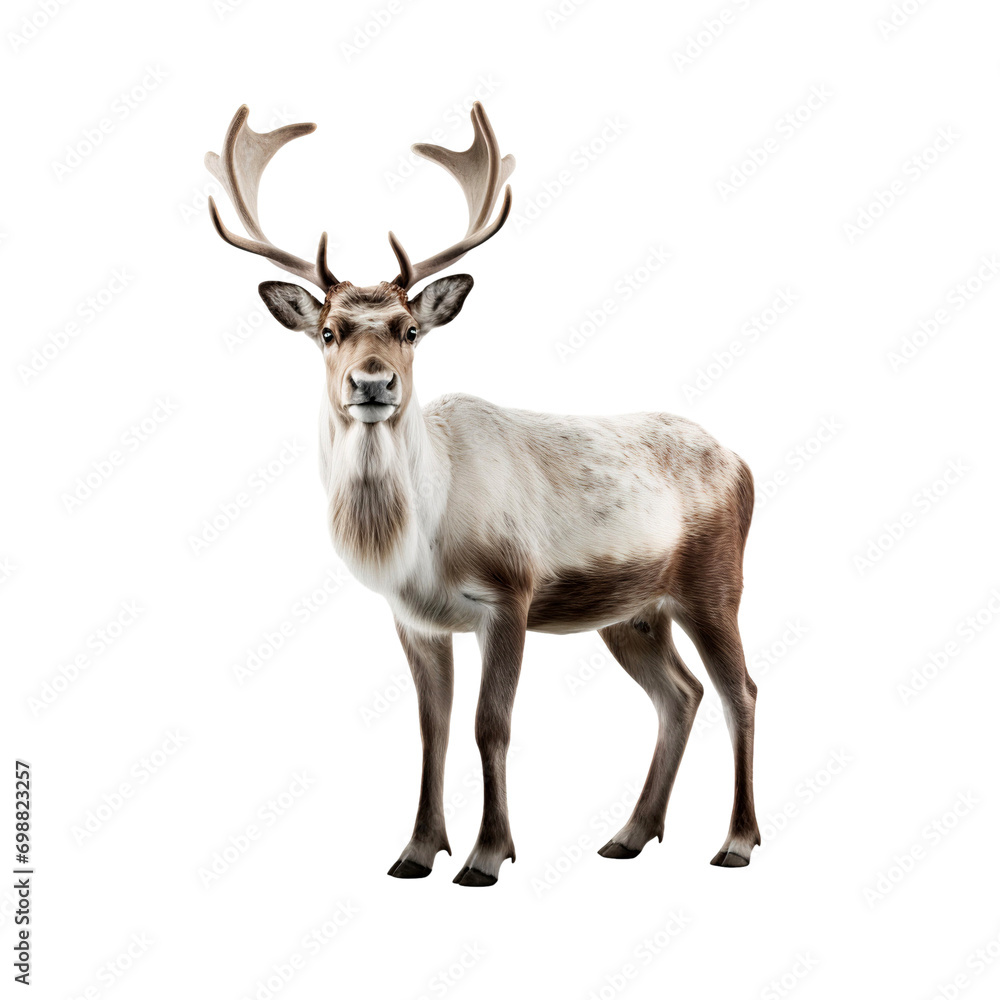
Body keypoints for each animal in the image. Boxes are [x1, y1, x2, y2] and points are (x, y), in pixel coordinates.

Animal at [205, 103, 761, 887]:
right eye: (329, 331)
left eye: (410, 329)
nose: (373, 383)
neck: (421, 540)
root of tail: (743, 464)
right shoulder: (415, 618)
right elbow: (430, 728)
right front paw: (415, 850)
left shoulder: (509, 594)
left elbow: (489, 726)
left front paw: (487, 855)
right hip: (633, 612)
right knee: (680, 694)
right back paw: (628, 833)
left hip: (715, 581)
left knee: (740, 690)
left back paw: (736, 841)